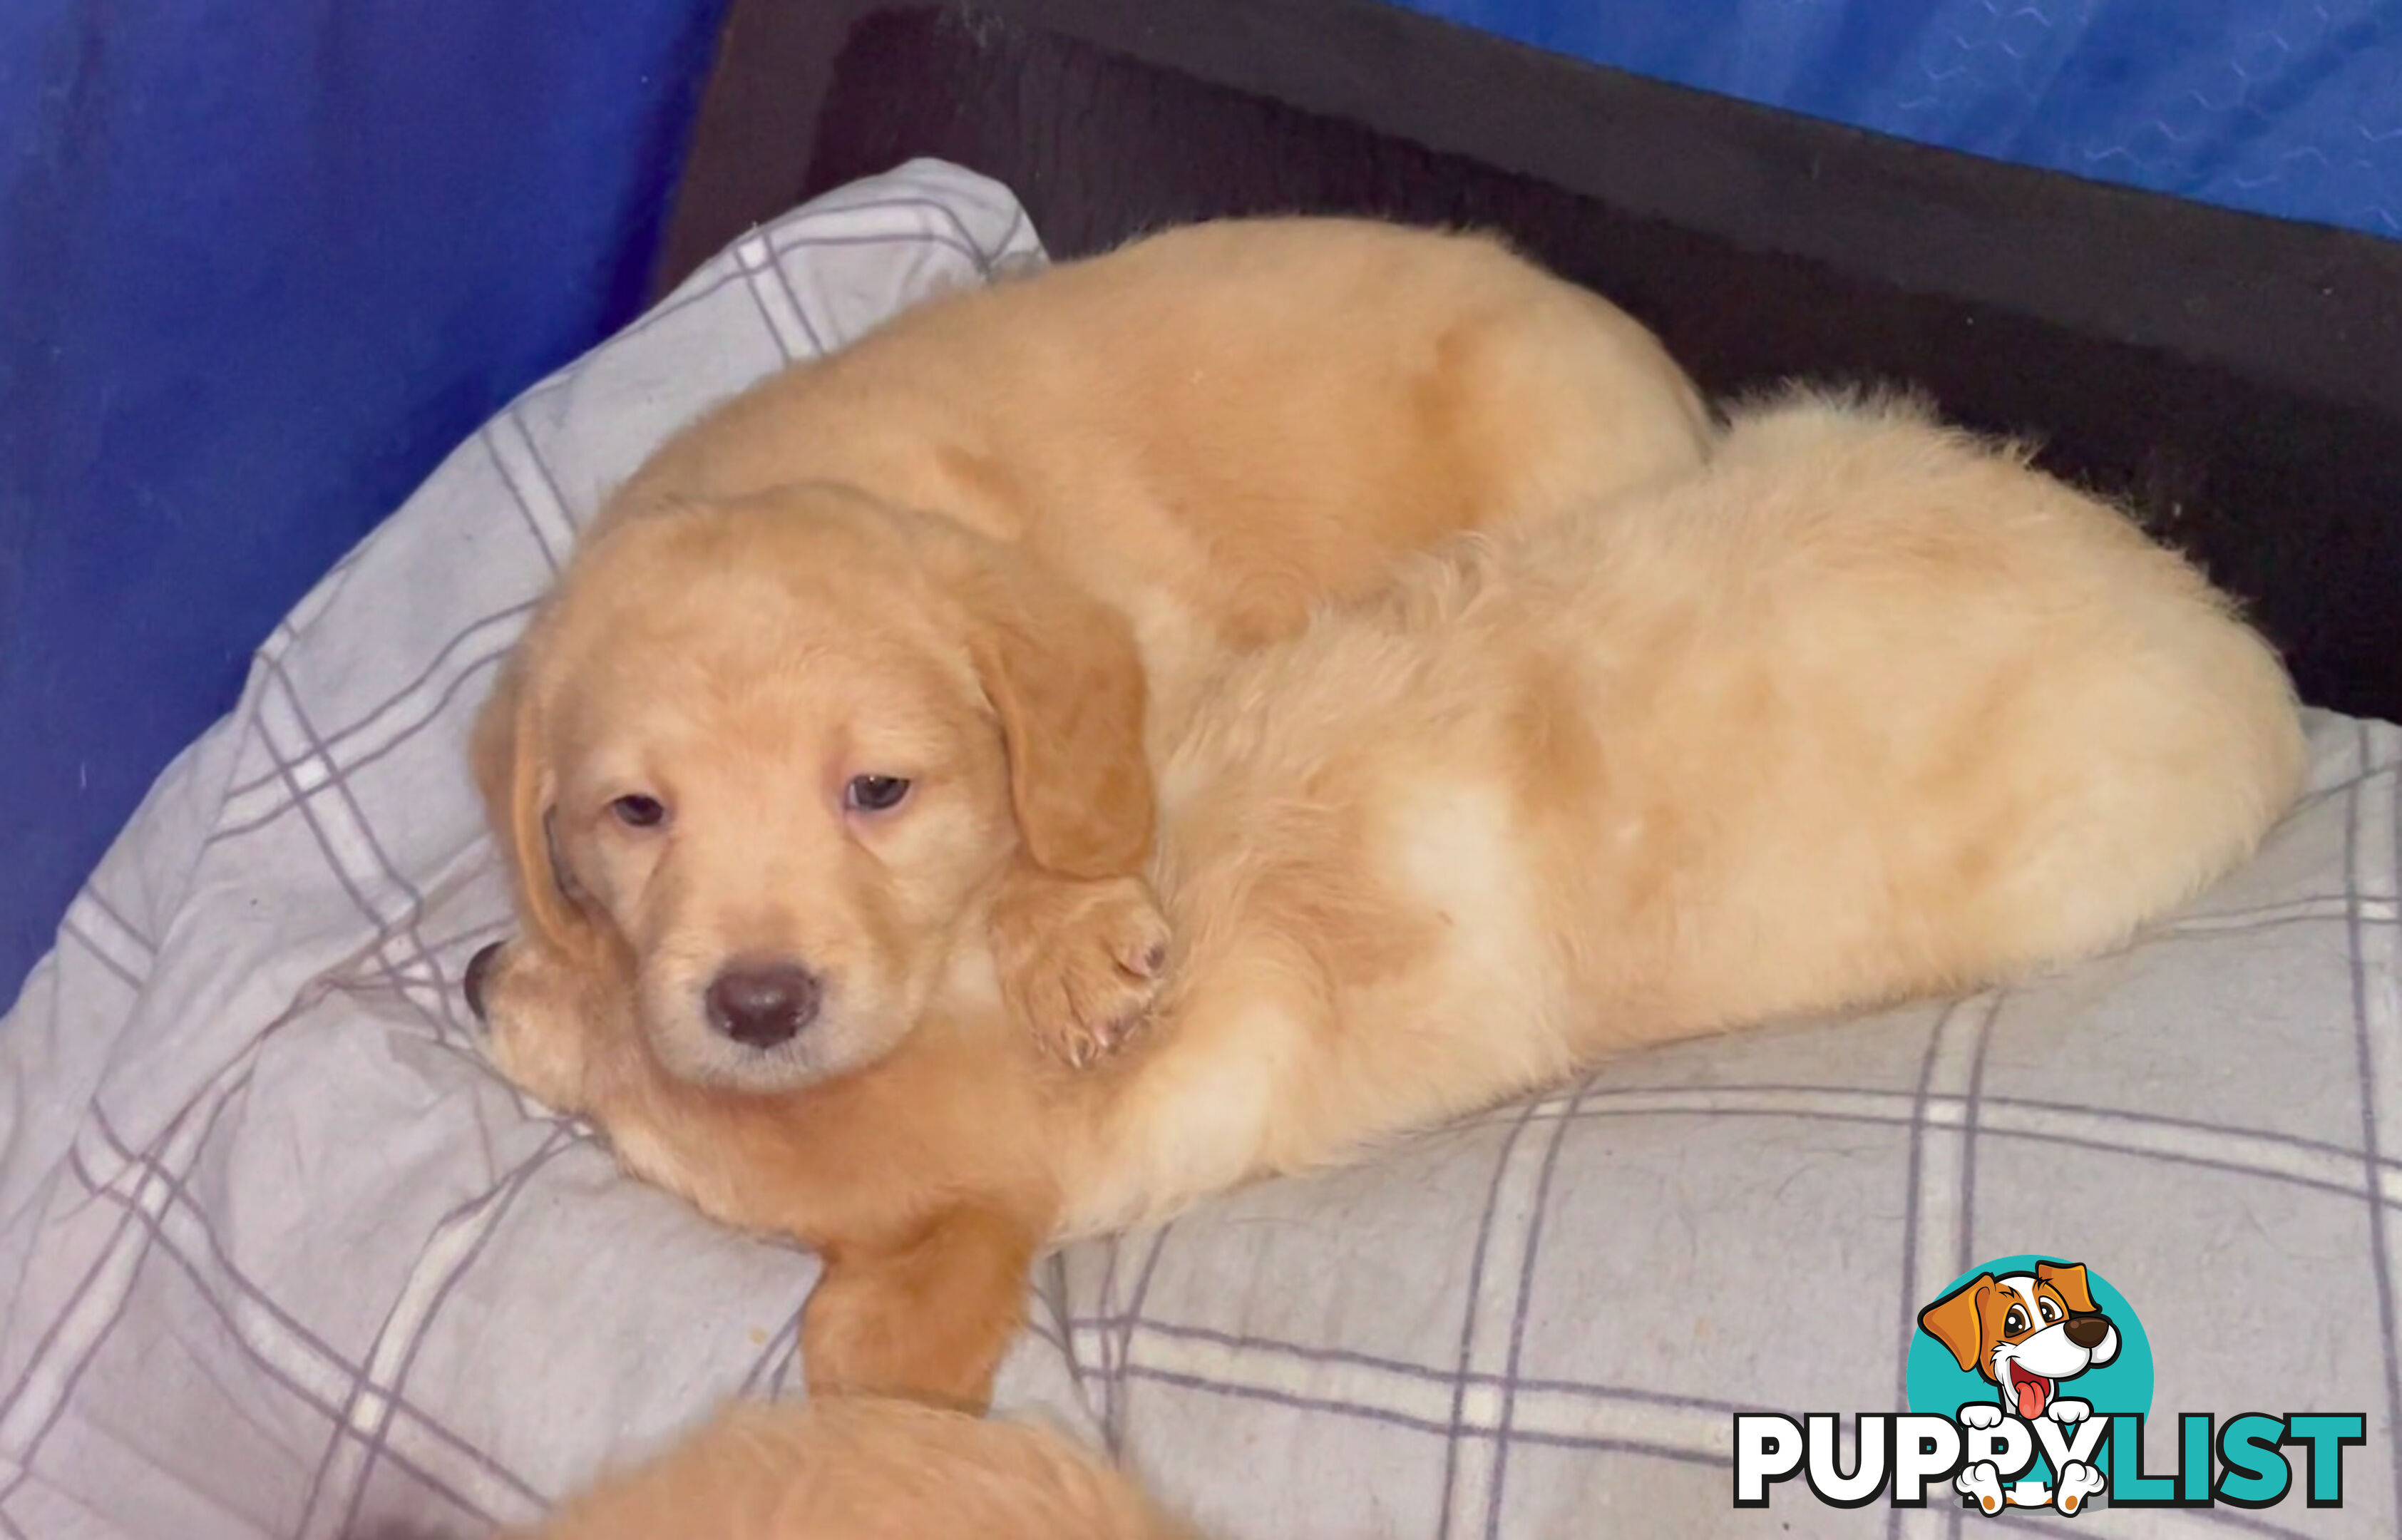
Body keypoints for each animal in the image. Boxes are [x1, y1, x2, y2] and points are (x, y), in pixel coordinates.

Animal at [468, 213, 1710, 1081]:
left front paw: (1066, 943)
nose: (759, 1008)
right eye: (635, 812)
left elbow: (1068, 806)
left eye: (879, 791)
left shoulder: (1164, 650)